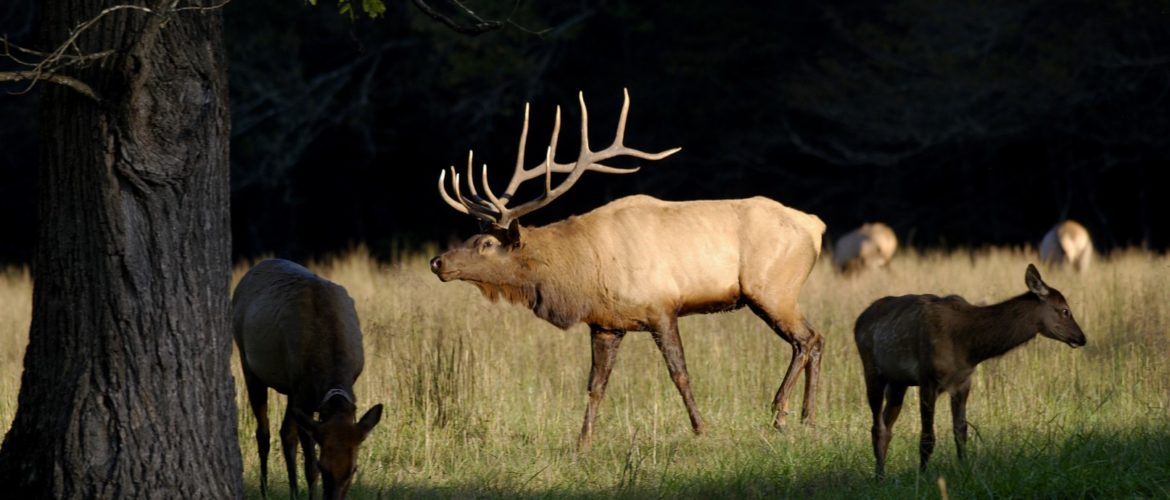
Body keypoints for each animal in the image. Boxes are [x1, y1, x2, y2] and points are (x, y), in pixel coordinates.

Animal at [233, 259, 384, 500]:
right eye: (324, 467)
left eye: (354, 469)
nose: (333, 498)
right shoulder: (302, 396)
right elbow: (309, 465)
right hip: (247, 361)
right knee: (263, 433)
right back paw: (264, 489)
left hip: (292, 389)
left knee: (285, 433)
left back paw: (294, 492)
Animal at [428, 89, 827, 450]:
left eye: (485, 244)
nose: (438, 262)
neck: (583, 272)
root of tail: (816, 226)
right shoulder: (606, 324)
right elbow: (596, 385)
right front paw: (583, 442)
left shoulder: (662, 307)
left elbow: (679, 373)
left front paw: (701, 428)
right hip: (777, 293)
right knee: (816, 339)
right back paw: (808, 418)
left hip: (772, 289)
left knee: (807, 339)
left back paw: (781, 414)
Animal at [853, 264, 1086, 479]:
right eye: (1065, 310)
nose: (1081, 337)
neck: (968, 347)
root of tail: (858, 321)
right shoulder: (928, 377)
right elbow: (928, 436)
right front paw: (923, 476)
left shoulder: (963, 382)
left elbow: (961, 431)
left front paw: (964, 471)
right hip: (871, 368)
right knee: (877, 426)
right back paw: (879, 477)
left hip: (898, 382)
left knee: (886, 424)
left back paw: (881, 473)